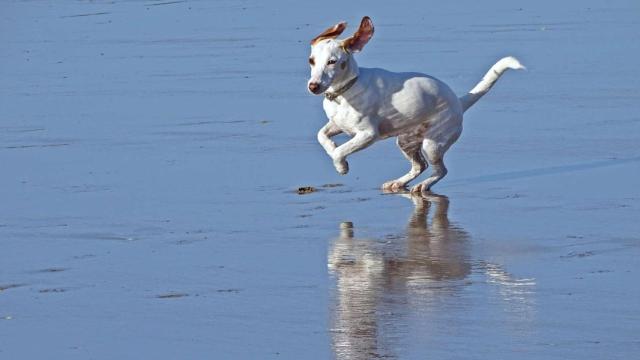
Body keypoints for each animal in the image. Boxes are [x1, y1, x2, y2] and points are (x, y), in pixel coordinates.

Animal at [310, 16, 524, 193]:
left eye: (332, 62)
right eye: (311, 61)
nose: (313, 86)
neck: (344, 92)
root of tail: (459, 102)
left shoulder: (368, 135)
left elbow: (340, 151)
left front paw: (341, 166)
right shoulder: (337, 125)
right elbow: (322, 136)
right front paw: (333, 151)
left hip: (432, 145)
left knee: (440, 170)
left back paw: (423, 186)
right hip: (406, 141)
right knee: (420, 166)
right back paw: (398, 183)